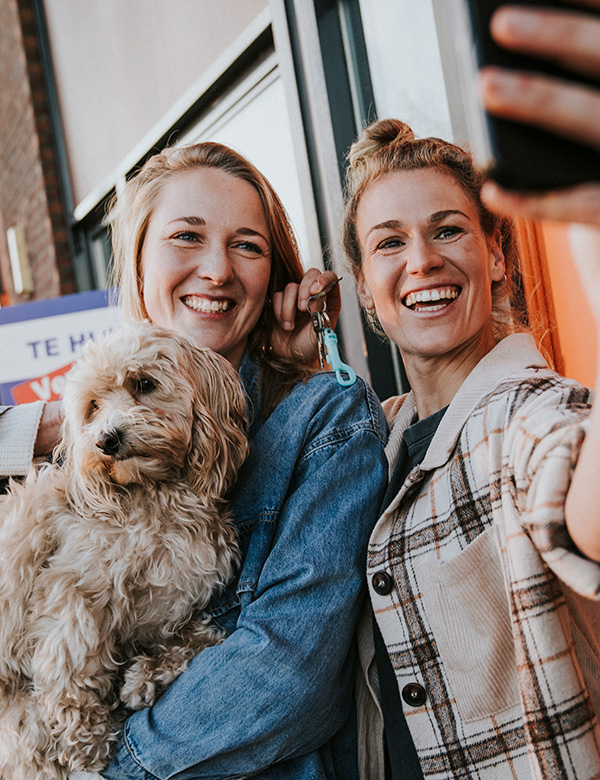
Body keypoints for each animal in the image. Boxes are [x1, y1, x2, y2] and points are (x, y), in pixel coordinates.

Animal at [0, 318, 248, 780]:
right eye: (94, 406)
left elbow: (205, 635)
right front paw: (86, 738)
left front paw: (145, 677)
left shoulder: (177, 602)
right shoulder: (69, 587)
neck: (157, 496)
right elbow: (71, 656)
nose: (106, 440)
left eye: (144, 383)